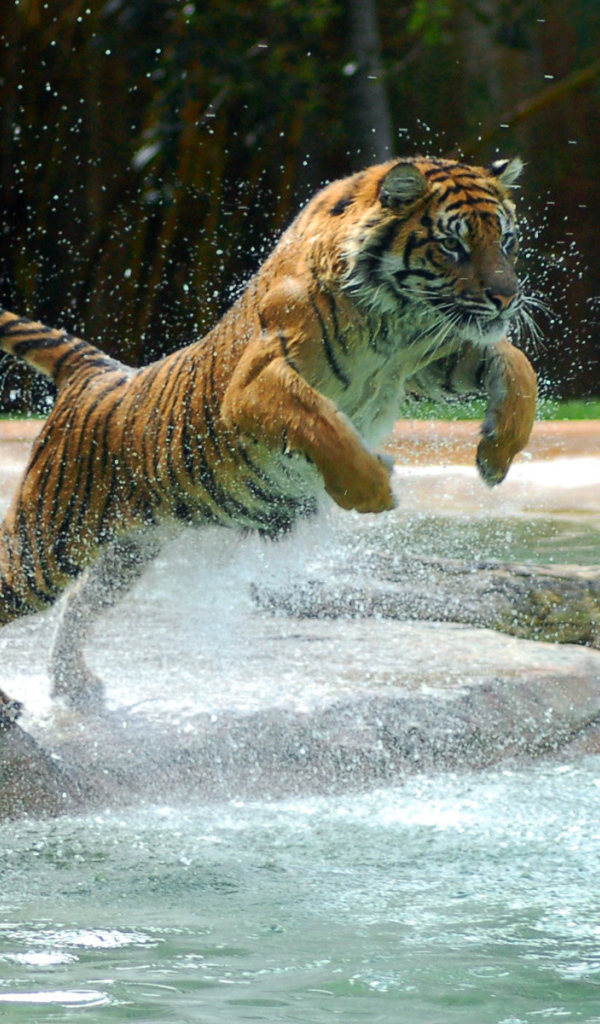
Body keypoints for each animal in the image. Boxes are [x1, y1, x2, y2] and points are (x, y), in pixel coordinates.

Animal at [0, 155, 537, 727]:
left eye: (507, 240)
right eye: (453, 245)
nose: (508, 298)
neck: (396, 319)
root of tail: (97, 373)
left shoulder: (434, 356)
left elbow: (517, 365)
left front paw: (496, 455)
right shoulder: (256, 381)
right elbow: (324, 423)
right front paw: (373, 492)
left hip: (128, 551)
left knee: (80, 604)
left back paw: (75, 688)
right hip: (47, 546)